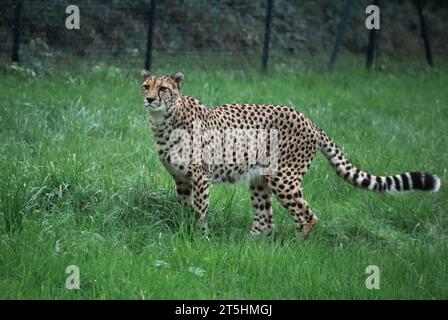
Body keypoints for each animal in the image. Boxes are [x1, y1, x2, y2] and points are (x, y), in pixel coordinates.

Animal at [141, 70, 440, 240]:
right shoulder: (181, 179)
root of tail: (309, 119)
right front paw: (185, 232)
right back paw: (249, 248)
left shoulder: (201, 177)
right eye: (146, 86)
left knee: (307, 216)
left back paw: (294, 248)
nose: (149, 99)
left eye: (163, 88)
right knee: (265, 221)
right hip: (260, 179)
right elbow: (186, 209)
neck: (164, 121)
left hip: (284, 178)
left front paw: (200, 240)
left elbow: (201, 211)